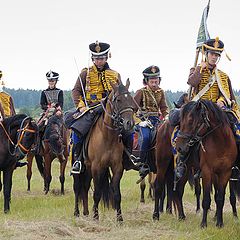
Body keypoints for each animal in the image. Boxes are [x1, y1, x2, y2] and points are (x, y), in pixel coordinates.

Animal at [72, 79, 136, 222]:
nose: (129, 123)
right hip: (81, 168)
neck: (108, 135)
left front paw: (120, 219)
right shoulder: (97, 167)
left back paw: (86, 212)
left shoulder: (117, 167)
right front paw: (96, 217)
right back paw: (77, 213)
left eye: (130, 98)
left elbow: (117, 194)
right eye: (118, 100)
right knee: (78, 188)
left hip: (88, 169)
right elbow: (97, 193)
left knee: (85, 187)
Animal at [175, 100, 239, 228]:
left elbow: (220, 198)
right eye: (180, 122)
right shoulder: (207, 172)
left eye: (190, 120)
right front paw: (203, 223)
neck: (221, 142)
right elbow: (206, 199)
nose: (179, 147)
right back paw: (181, 216)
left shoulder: (225, 173)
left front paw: (219, 223)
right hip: (186, 170)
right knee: (179, 190)